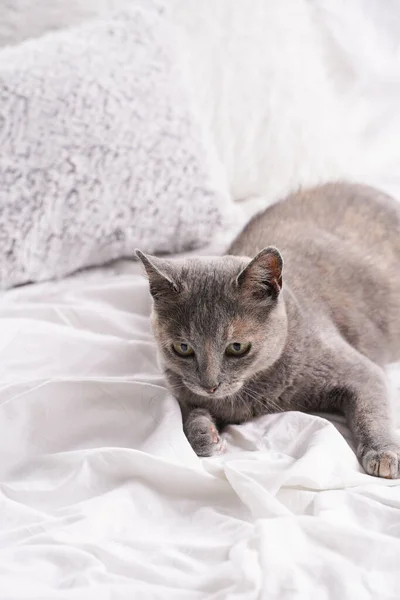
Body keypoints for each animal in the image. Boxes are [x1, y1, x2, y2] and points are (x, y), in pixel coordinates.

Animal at [137, 182, 400, 478]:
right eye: (183, 348)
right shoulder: (183, 393)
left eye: (237, 347)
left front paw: (382, 454)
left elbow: (371, 409)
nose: (210, 385)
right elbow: (190, 414)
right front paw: (204, 436)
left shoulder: (361, 371)